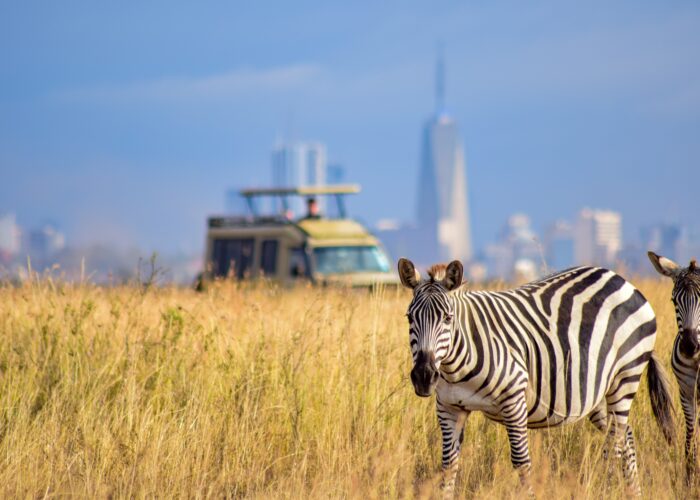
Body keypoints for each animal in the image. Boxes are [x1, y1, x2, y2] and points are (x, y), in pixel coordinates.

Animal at [396, 258, 676, 496]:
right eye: (409, 318)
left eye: (447, 318)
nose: (424, 376)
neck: (455, 367)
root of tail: (621, 280)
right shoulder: (449, 408)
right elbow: (448, 466)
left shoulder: (514, 400)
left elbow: (521, 463)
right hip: (596, 393)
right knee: (626, 436)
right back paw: (633, 493)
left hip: (625, 375)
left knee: (615, 443)